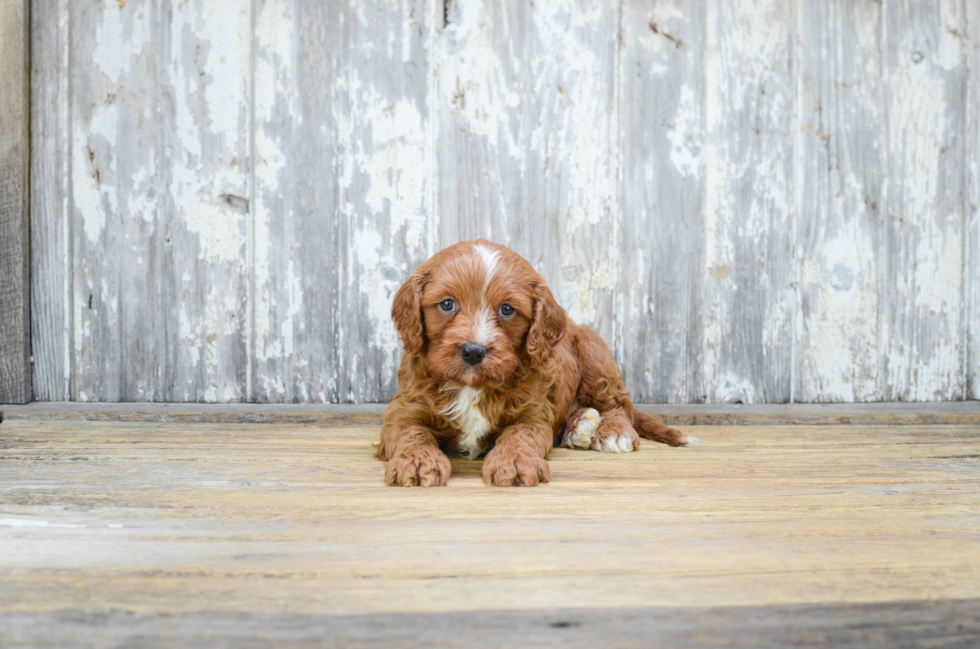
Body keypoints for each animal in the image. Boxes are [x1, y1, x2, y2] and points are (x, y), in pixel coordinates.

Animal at [376, 239, 688, 486]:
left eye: (506, 309)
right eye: (447, 304)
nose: (474, 351)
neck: (472, 386)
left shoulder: (533, 412)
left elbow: (520, 434)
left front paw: (515, 463)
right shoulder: (405, 407)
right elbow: (411, 432)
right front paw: (417, 461)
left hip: (593, 352)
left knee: (617, 403)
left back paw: (611, 431)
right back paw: (579, 426)